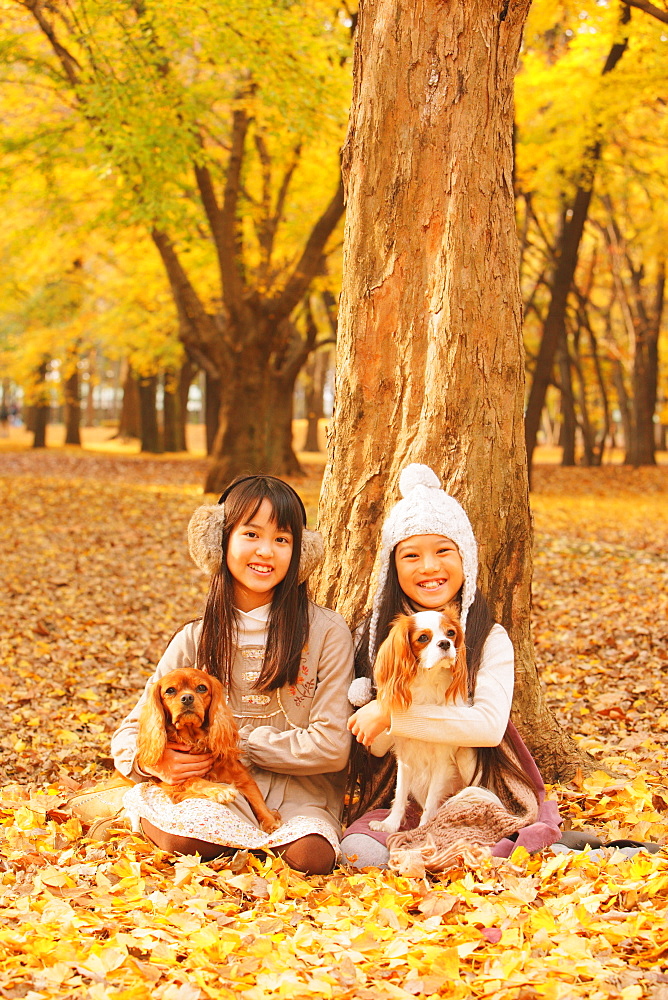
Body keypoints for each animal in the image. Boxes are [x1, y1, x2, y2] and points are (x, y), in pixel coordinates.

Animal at [136, 664, 282, 836]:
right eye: (170, 690)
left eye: (201, 688)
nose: (187, 698)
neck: (194, 740)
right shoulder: (169, 783)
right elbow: (194, 779)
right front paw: (219, 790)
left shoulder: (242, 777)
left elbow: (257, 800)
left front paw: (271, 822)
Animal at [368, 608, 478, 836]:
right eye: (423, 638)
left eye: (451, 633)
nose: (445, 643)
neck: (429, 680)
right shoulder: (405, 759)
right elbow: (400, 794)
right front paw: (390, 824)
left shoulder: (442, 763)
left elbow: (430, 802)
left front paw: (423, 829)